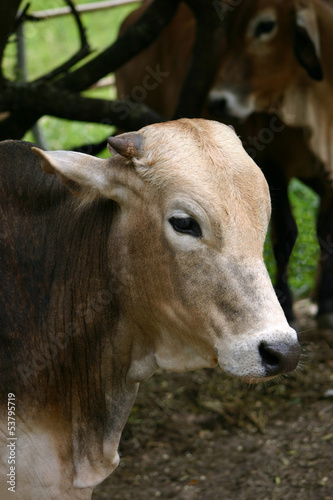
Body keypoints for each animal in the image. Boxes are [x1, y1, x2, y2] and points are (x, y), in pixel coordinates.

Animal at [116, 0, 333, 330]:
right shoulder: (271, 160)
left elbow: (326, 232)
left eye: (266, 25)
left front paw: (325, 305)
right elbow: (285, 235)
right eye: (227, 33)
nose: (218, 101)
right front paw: (288, 307)